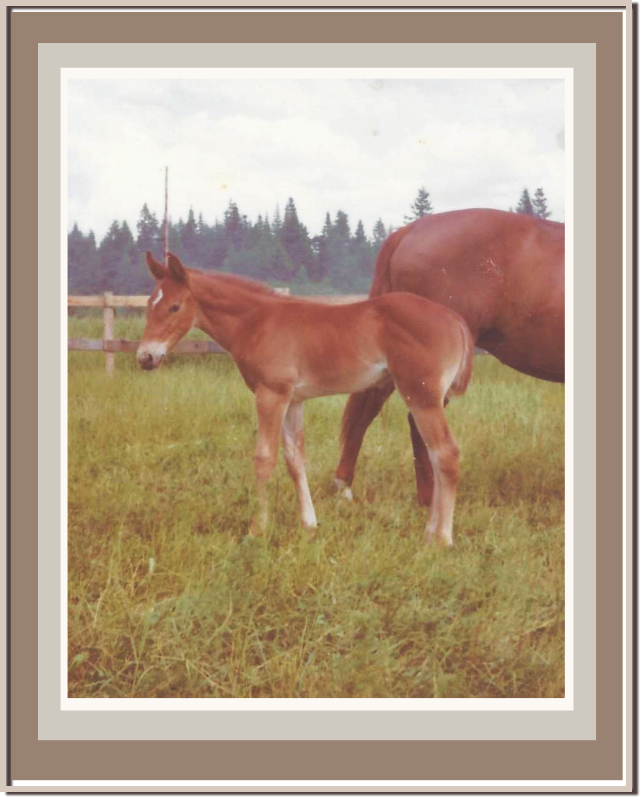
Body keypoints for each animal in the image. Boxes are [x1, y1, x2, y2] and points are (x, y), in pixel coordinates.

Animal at [137, 251, 474, 547]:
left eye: (175, 307)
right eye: (149, 305)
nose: (145, 357)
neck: (257, 321)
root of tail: (454, 319)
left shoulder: (271, 394)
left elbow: (264, 459)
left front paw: (257, 530)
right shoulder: (293, 400)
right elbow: (295, 460)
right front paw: (309, 525)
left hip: (422, 397)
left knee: (446, 454)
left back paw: (442, 539)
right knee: (436, 455)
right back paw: (430, 533)